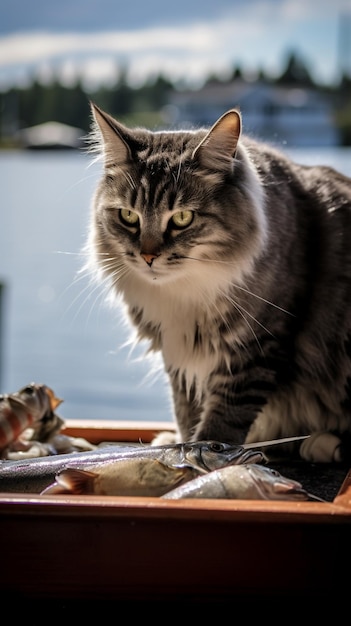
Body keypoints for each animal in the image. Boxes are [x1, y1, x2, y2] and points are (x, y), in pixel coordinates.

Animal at [85, 102, 351, 460]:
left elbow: (223, 418)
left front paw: (207, 456)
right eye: (128, 216)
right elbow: (186, 410)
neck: (184, 291)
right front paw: (181, 445)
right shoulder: (179, 352)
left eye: (182, 218)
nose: (148, 256)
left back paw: (321, 443)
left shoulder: (256, 348)